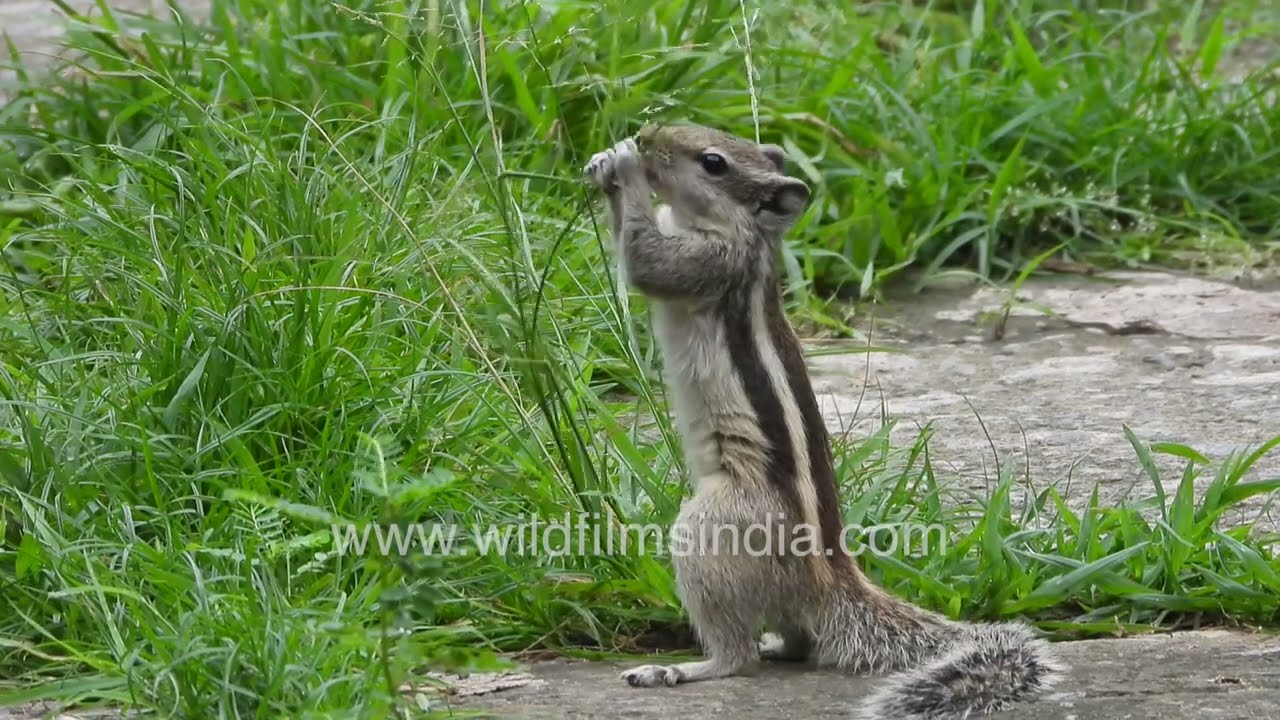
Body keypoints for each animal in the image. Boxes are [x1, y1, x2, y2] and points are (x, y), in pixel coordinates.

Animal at [581, 122, 1064, 720]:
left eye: (713, 162)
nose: (650, 136)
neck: (746, 233)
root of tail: (829, 580)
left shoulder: (710, 261)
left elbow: (648, 261)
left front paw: (624, 167)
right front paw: (605, 159)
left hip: (710, 530)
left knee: (738, 657)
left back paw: (680, 668)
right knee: (797, 641)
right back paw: (772, 644)